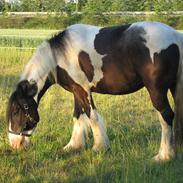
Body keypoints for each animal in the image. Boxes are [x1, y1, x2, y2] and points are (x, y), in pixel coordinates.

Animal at [6, 21, 183, 161]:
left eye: (16, 111)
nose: (14, 144)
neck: (60, 56)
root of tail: (175, 36)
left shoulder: (83, 90)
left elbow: (92, 116)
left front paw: (99, 147)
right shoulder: (76, 91)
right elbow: (78, 116)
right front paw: (73, 145)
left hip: (156, 90)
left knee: (166, 116)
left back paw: (163, 156)